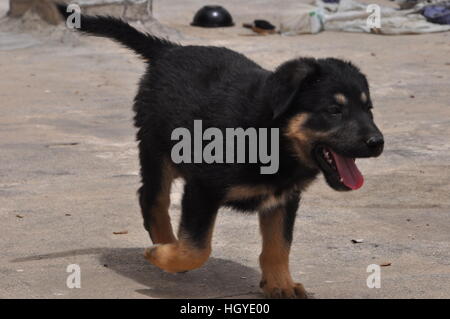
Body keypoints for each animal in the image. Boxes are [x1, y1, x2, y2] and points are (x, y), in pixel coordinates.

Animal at [58, 5, 384, 300]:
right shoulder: (203, 187)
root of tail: (167, 51)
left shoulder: (283, 198)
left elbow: (279, 246)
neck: (272, 135)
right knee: (152, 197)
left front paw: (281, 284)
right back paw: (165, 243)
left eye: (368, 109)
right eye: (334, 110)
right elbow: (197, 248)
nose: (377, 143)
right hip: (156, 147)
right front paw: (163, 255)